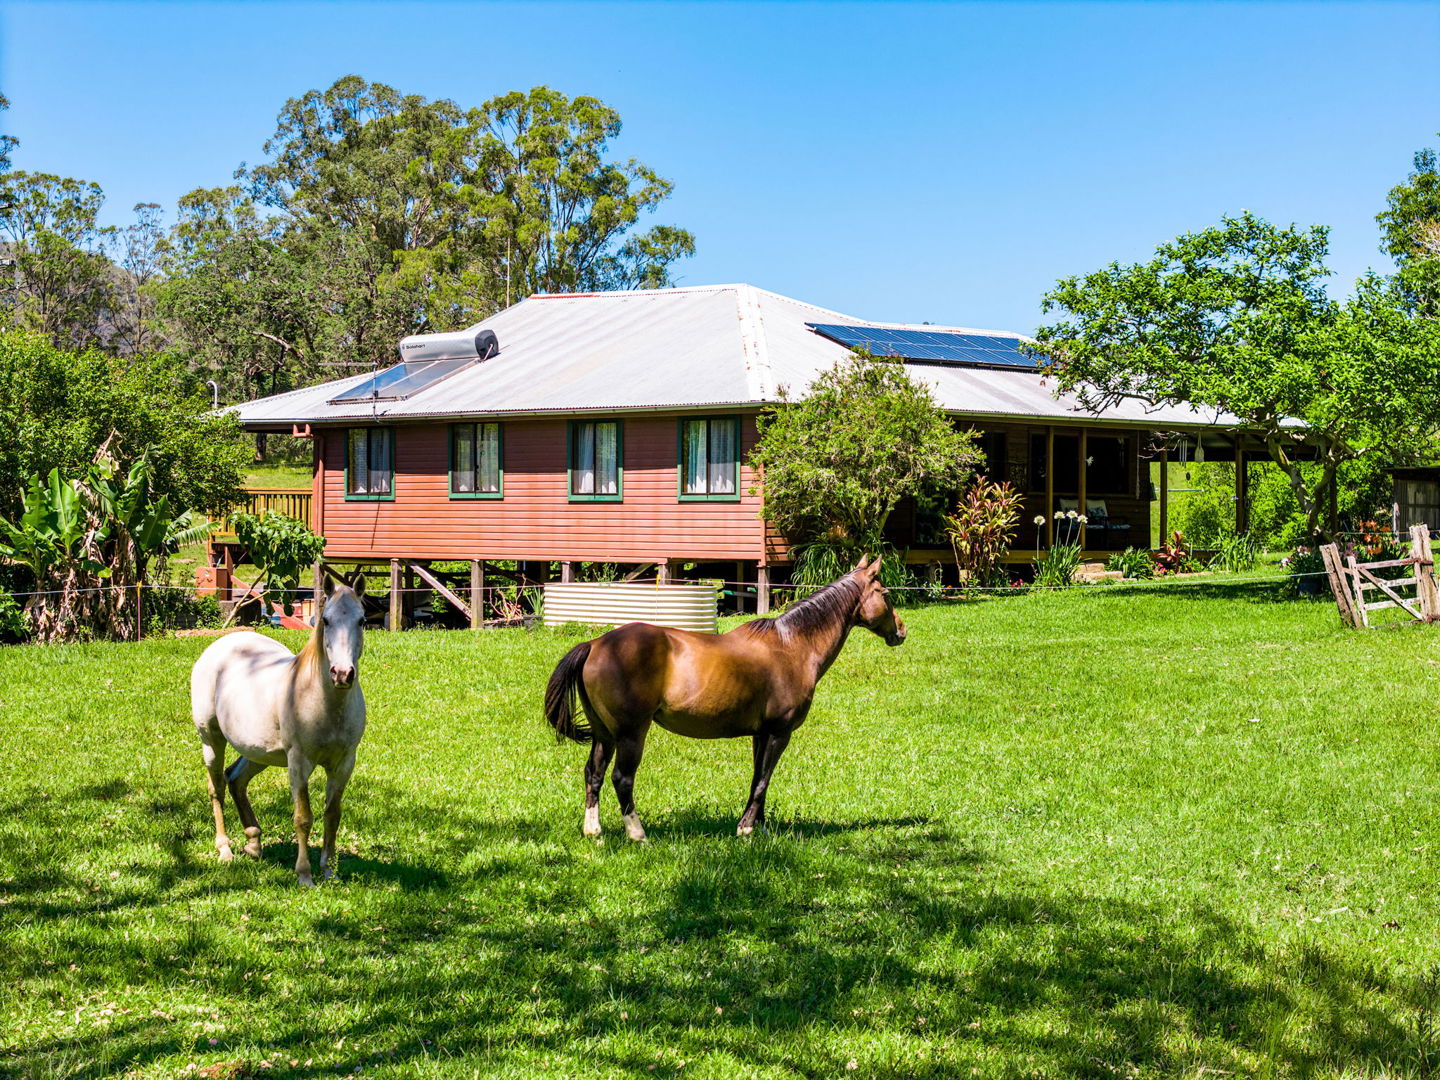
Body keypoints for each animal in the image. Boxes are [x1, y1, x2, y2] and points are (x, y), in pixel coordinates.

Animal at [189, 577, 368, 886]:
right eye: (326, 620)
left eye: (361, 620)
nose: (342, 674)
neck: (322, 700)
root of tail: (222, 644)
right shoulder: (299, 762)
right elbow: (303, 817)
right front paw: (305, 875)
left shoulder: (344, 763)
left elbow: (332, 815)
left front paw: (329, 871)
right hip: (211, 740)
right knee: (217, 787)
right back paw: (225, 849)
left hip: (259, 753)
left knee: (236, 779)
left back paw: (253, 842)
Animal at [543, 556, 905, 841]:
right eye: (885, 594)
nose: (901, 630)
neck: (792, 646)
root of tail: (595, 644)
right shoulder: (779, 733)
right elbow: (763, 780)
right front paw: (745, 828)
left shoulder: (761, 734)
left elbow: (758, 779)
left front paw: (759, 826)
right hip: (631, 734)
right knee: (622, 778)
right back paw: (637, 834)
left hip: (604, 735)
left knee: (593, 774)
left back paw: (594, 831)